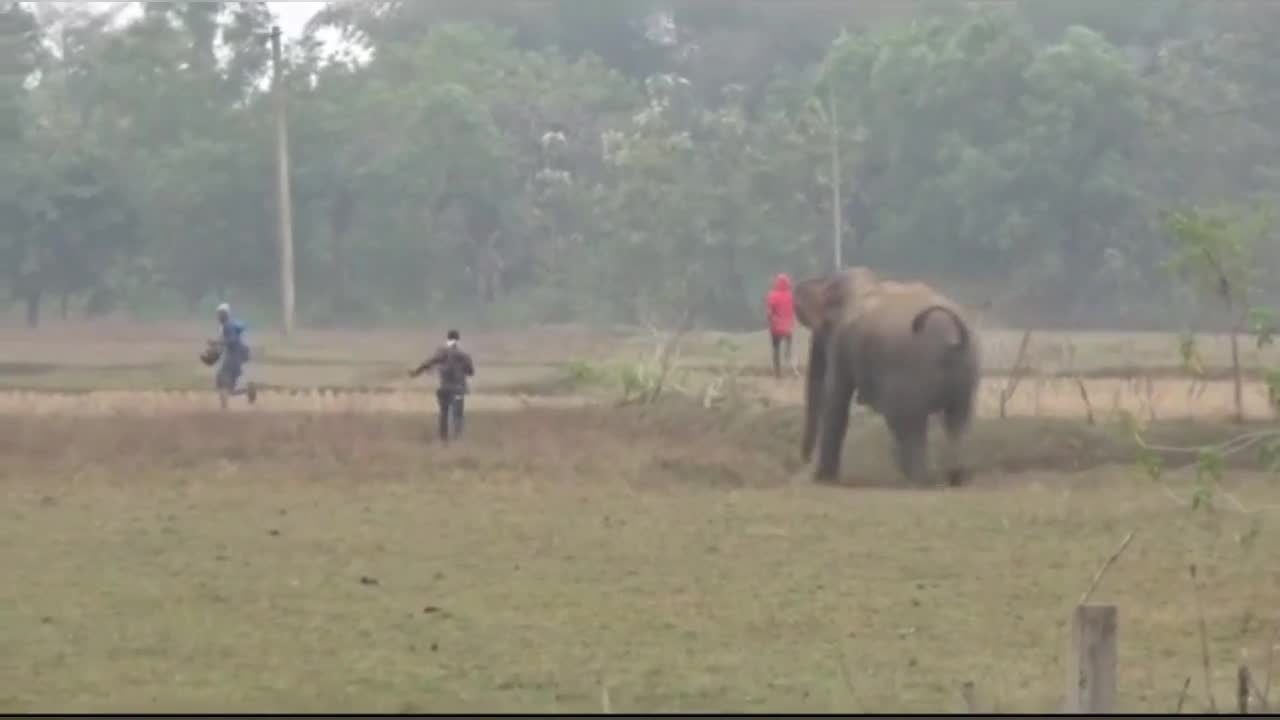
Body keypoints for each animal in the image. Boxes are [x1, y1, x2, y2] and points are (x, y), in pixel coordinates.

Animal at [793, 266, 983, 484]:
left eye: (824, 326)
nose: (804, 461)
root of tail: (953, 334)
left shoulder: (841, 341)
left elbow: (835, 400)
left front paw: (823, 479)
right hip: (968, 370)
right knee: (958, 419)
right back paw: (954, 477)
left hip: (913, 373)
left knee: (907, 422)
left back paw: (918, 480)